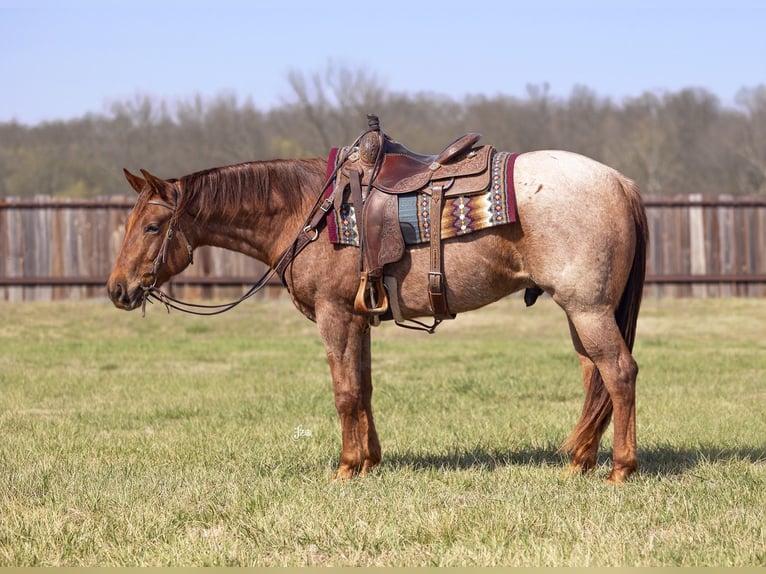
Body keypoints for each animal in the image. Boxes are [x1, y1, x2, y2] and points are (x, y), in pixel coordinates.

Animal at [107, 139, 648, 484]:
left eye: (152, 226)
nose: (117, 289)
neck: (308, 212)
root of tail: (620, 182)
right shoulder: (358, 319)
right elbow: (363, 388)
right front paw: (370, 462)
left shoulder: (335, 317)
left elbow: (344, 392)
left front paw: (347, 467)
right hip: (582, 312)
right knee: (594, 377)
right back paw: (579, 462)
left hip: (588, 309)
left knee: (619, 373)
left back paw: (620, 469)